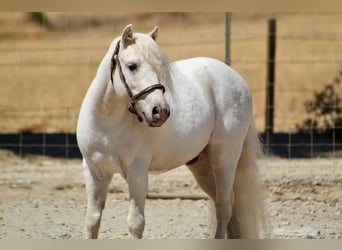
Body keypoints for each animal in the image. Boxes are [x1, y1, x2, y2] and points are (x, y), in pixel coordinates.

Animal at [76, 24, 266, 238]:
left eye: (160, 68)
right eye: (132, 66)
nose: (161, 111)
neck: (108, 123)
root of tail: (236, 78)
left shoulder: (137, 173)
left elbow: (135, 223)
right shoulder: (94, 172)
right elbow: (92, 221)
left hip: (225, 159)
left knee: (224, 206)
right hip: (202, 166)